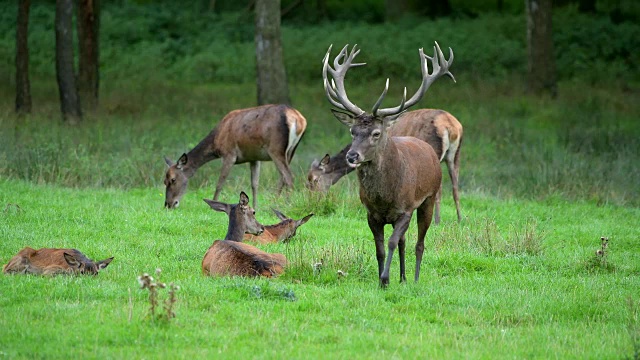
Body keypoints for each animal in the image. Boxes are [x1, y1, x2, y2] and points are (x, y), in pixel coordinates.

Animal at [164, 104, 306, 210]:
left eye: (173, 180)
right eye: (164, 181)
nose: (168, 204)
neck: (216, 141)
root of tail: (299, 120)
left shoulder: (229, 154)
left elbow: (220, 182)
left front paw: (213, 204)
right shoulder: (254, 158)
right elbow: (255, 184)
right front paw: (255, 207)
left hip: (276, 148)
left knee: (289, 176)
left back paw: (287, 204)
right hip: (291, 151)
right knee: (283, 177)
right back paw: (276, 203)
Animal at [308, 108, 462, 224]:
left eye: (315, 180)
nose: (314, 201)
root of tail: (451, 126)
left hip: (436, 153)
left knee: (439, 190)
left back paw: (437, 221)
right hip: (454, 156)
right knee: (455, 186)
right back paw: (460, 219)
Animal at [324, 41, 456, 286]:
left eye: (376, 133)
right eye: (352, 131)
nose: (352, 156)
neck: (384, 197)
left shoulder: (405, 209)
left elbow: (393, 242)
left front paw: (386, 278)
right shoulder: (371, 214)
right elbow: (380, 249)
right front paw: (381, 280)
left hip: (429, 198)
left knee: (419, 243)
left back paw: (414, 279)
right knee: (405, 242)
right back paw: (402, 278)